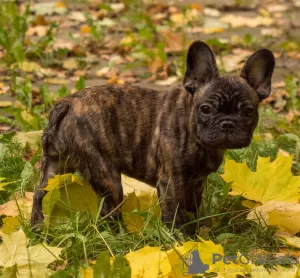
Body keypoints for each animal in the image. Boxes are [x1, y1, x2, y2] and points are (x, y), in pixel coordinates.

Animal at [31, 40, 276, 229]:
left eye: (248, 111)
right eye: (206, 109)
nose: (227, 123)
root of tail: (67, 104)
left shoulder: (196, 182)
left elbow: (192, 207)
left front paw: (197, 230)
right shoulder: (171, 181)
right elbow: (174, 211)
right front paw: (181, 238)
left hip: (53, 166)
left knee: (39, 195)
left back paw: (37, 228)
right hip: (106, 173)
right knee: (109, 211)